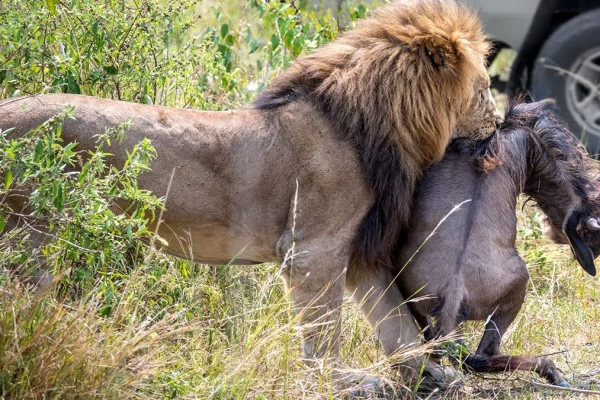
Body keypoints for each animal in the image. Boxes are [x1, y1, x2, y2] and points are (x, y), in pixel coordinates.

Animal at [1, 0, 502, 394]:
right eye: (483, 90)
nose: (499, 122)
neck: (379, 127)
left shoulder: (361, 251)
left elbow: (395, 322)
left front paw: (432, 374)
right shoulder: (314, 248)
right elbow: (325, 329)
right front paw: (342, 381)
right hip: (32, 235)